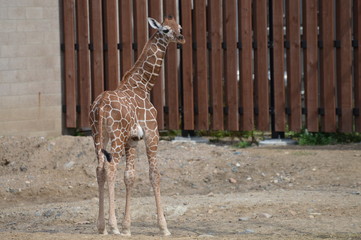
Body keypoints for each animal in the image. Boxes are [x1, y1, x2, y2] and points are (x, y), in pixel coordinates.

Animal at [89, 16, 186, 236]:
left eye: (179, 27)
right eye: (165, 30)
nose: (181, 38)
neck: (143, 85)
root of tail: (100, 106)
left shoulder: (132, 140)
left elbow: (130, 176)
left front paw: (127, 228)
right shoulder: (152, 134)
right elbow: (154, 175)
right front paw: (164, 227)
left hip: (98, 136)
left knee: (100, 169)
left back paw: (101, 227)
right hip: (115, 136)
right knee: (110, 167)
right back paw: (112, 226)